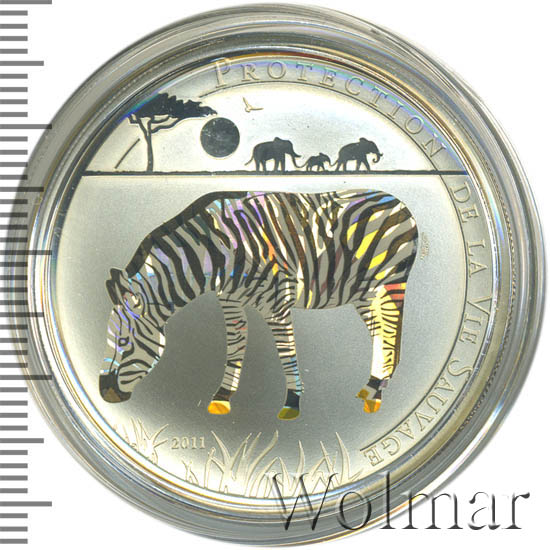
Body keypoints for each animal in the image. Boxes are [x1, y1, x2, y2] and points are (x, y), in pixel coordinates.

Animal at [100, 190, 418, 420]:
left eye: (125, 343)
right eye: (108, 340)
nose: (105, 395)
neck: (217, 251)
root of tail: (399, 203)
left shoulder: (276, 304)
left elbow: (286, 353)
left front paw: (292, 402)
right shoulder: (229, 300)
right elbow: (235, 347)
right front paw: (222, 397)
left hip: (390, 282)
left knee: (391, 330)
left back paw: (377, 394)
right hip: (364, 292)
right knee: (381, 333)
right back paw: (373, 384)